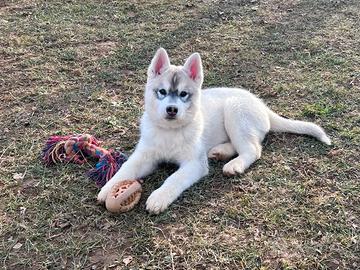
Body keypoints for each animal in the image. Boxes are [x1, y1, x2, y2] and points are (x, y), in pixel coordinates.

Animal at [96, 48, 332, 213]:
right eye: (162, 92)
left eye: (183, 94)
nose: (172, 109)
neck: (170, 132)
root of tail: (262, 105)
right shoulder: (144, 156)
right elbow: (125, 169)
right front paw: (109, 188)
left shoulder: (194, 164)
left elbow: (174, 179)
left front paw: (159, 197)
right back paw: (220, 151)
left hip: (235, 112)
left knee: (253, 149)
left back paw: (235, 164)